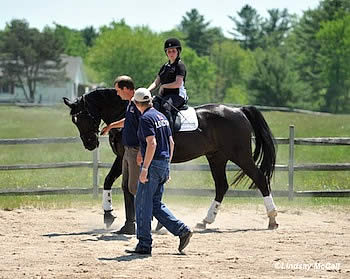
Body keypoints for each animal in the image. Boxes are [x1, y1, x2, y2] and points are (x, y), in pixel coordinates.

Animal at [63, 88, 278, 231]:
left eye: (83, 117)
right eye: (74, 120)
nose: (90, 143)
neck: (125, 115)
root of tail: (239, 111)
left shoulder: (130, 157)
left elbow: (129, 186)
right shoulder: (122, 158)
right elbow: (108, 180)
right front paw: (108, 214)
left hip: (240, 155)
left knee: (260, 179)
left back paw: (272, 219)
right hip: (216, 158)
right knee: (221, 186)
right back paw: (206, 220)